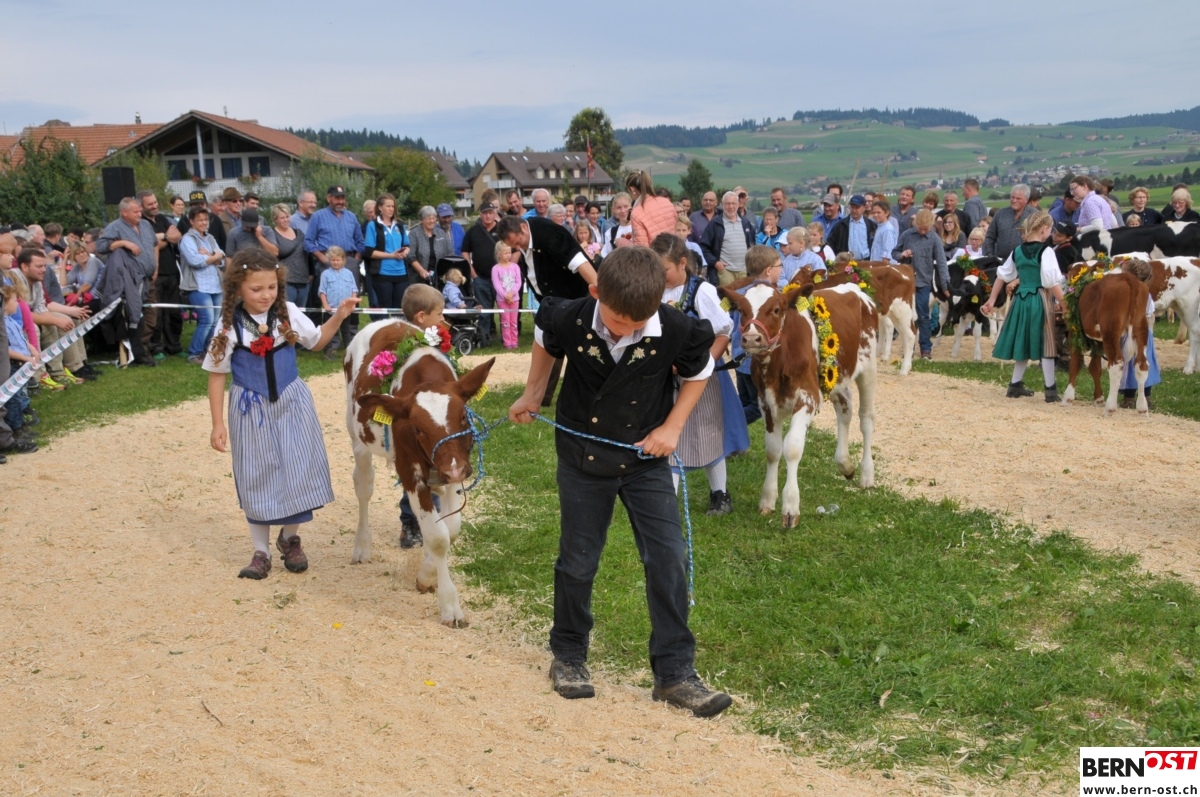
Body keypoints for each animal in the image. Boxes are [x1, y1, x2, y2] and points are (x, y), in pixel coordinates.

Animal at [344, 318, 495, 627]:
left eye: (463, 417)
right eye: (417, 428)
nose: (455, 468)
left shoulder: (451, 474)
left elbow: (450, 529)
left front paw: (429, 574)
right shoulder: (411, 470)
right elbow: (438, 537)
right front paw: (449, 605)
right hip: (357, 438)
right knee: (363, 488)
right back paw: (362, 546)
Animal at [720, 281, 877, 527]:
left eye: (776, 309)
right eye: (742, 310)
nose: (752, 338)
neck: (778, 363)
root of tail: (854, 287)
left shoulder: (808, 397)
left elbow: (792, 447)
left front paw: (790, 508)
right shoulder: (765, 402)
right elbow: (773, 450)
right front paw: (768, 499)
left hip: (868, 368)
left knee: (866, 419)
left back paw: (866, 474)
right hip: (836, 376)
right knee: (845, 409)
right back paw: (845, 464)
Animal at [1061, 263, 1151, 415]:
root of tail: (1128, 278)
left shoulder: (1074, 333)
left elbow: (1075, 365)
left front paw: (1068, 398)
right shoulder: (1098, 342)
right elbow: (1095, 368)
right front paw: (1098, 398)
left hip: (1110, 330)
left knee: (1116, 364)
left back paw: (1110, 408)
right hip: (1140, 327)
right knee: (1141, 364)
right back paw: (1142, 408)